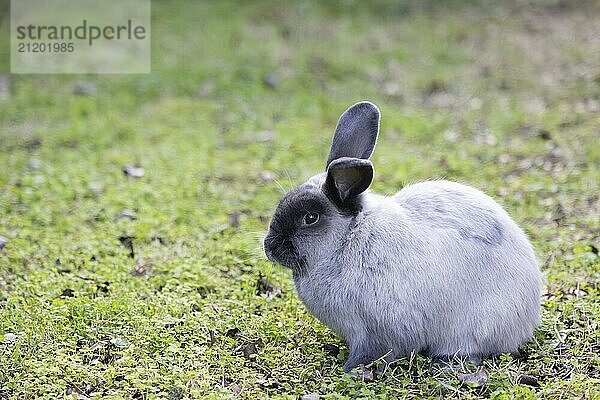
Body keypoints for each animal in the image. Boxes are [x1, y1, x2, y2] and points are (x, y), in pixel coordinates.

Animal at [262, 101, 540, 374]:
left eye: (310, 218)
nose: (269, 246)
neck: (346, 239)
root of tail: (527, 320)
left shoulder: (376, 329)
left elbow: (376, 350)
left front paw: (352, 369)